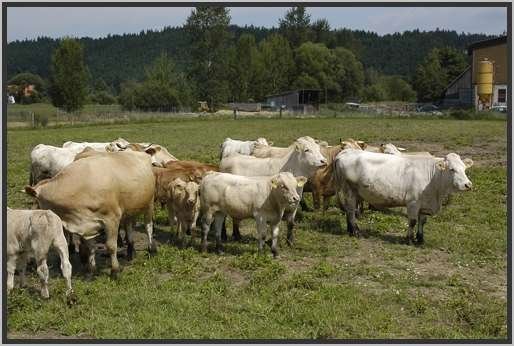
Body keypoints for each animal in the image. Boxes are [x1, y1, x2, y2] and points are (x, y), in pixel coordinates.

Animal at [332, 149, 472, 243]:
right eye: (452, 169)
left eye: (465, 168)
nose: (468, 185)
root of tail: (345, 152)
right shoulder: (413, 203)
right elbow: (412, 221)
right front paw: (409, 239)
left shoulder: (424, 203)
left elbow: (422, 221)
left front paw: (420, 239)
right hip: (349, 190)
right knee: (351, 211)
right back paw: (356, 232)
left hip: (354, 193)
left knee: (349, 210)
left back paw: (350, 230)